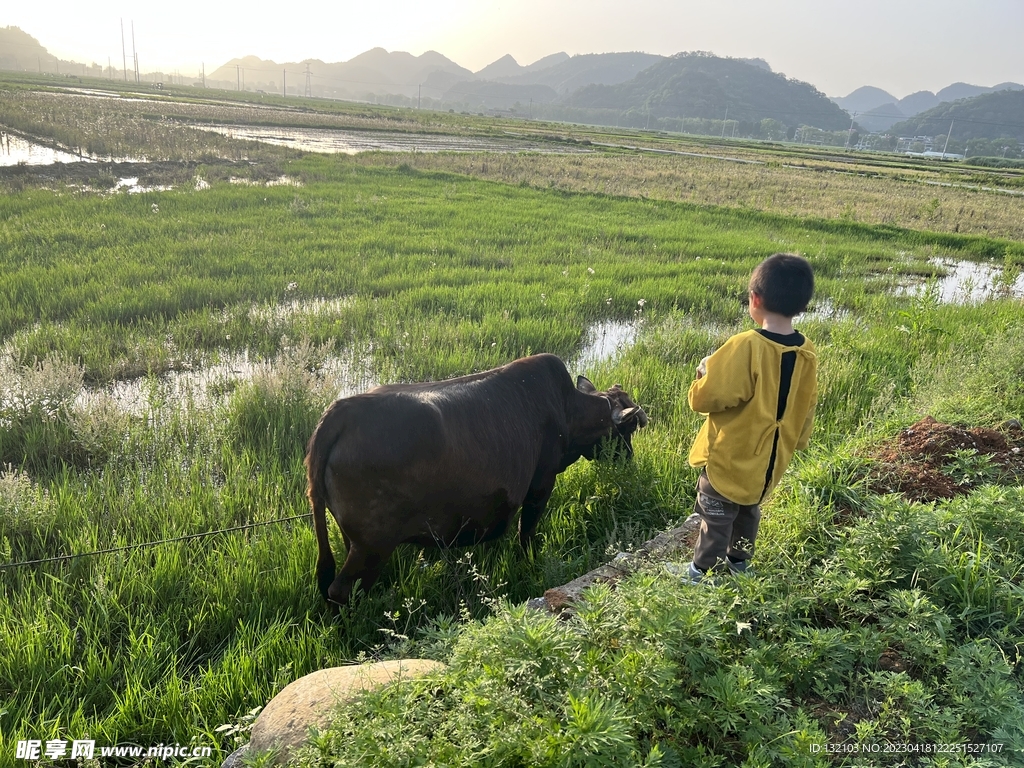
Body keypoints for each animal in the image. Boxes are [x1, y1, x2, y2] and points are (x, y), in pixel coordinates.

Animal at [303, 354, 651, 606]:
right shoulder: (541, 484)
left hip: (354, 540)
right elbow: (527, 532)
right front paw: (530, 559)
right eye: (628, 428)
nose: (629, 460)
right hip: (373, 545)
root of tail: (341, 410)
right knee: (340, 590)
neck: (568, 409)